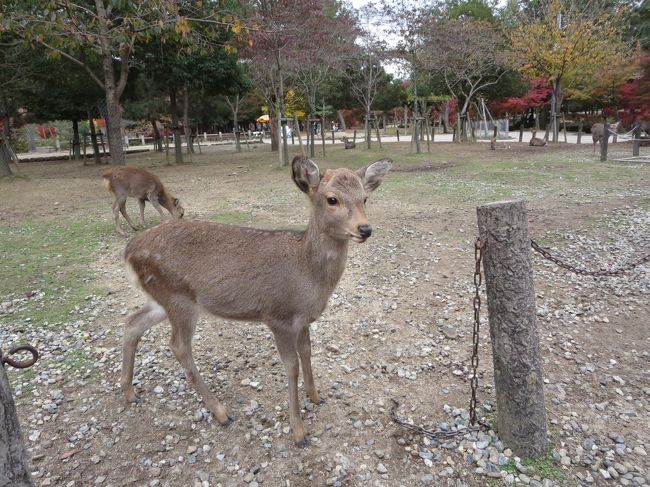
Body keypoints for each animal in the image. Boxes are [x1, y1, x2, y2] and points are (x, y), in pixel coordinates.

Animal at [120, 155, 392, 447]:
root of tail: (128, 251)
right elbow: (292, 366)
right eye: (332, 199)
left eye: (365, 198)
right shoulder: (278, 316)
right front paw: (299, 431)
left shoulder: (303, 320)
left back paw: (129, 391)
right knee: (179, 346)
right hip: (179, 298)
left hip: (161, 299)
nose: (365, 229)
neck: (307, 278)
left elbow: (307, 352)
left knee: (132, 322)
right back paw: (221, 413)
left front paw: (316, 396)